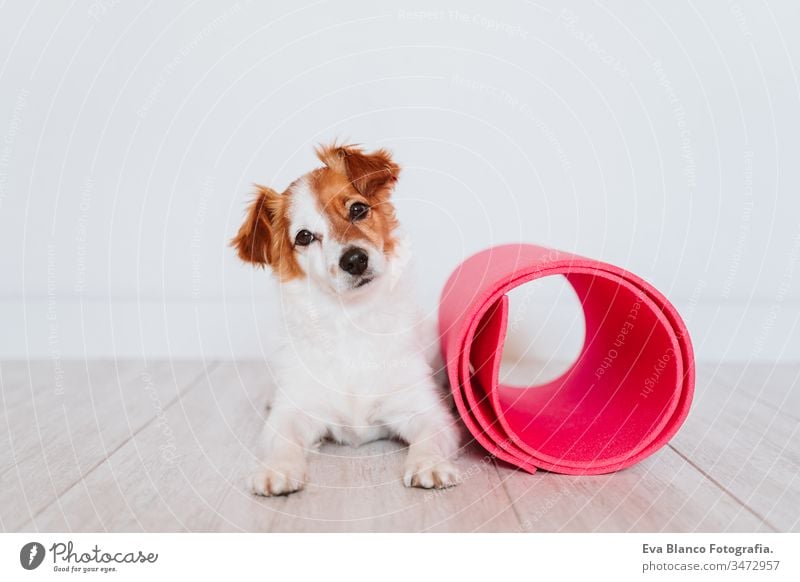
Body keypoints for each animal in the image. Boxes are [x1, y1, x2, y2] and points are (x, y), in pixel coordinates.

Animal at [231, 143, 460, 498]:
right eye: (304, 236)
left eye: (357, 209)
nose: (354, 260)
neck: (351, 320)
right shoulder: (295, 411)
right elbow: (281, 437)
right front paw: (277, 468)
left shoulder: (422, 409)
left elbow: (430, 436)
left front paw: (429, 463)